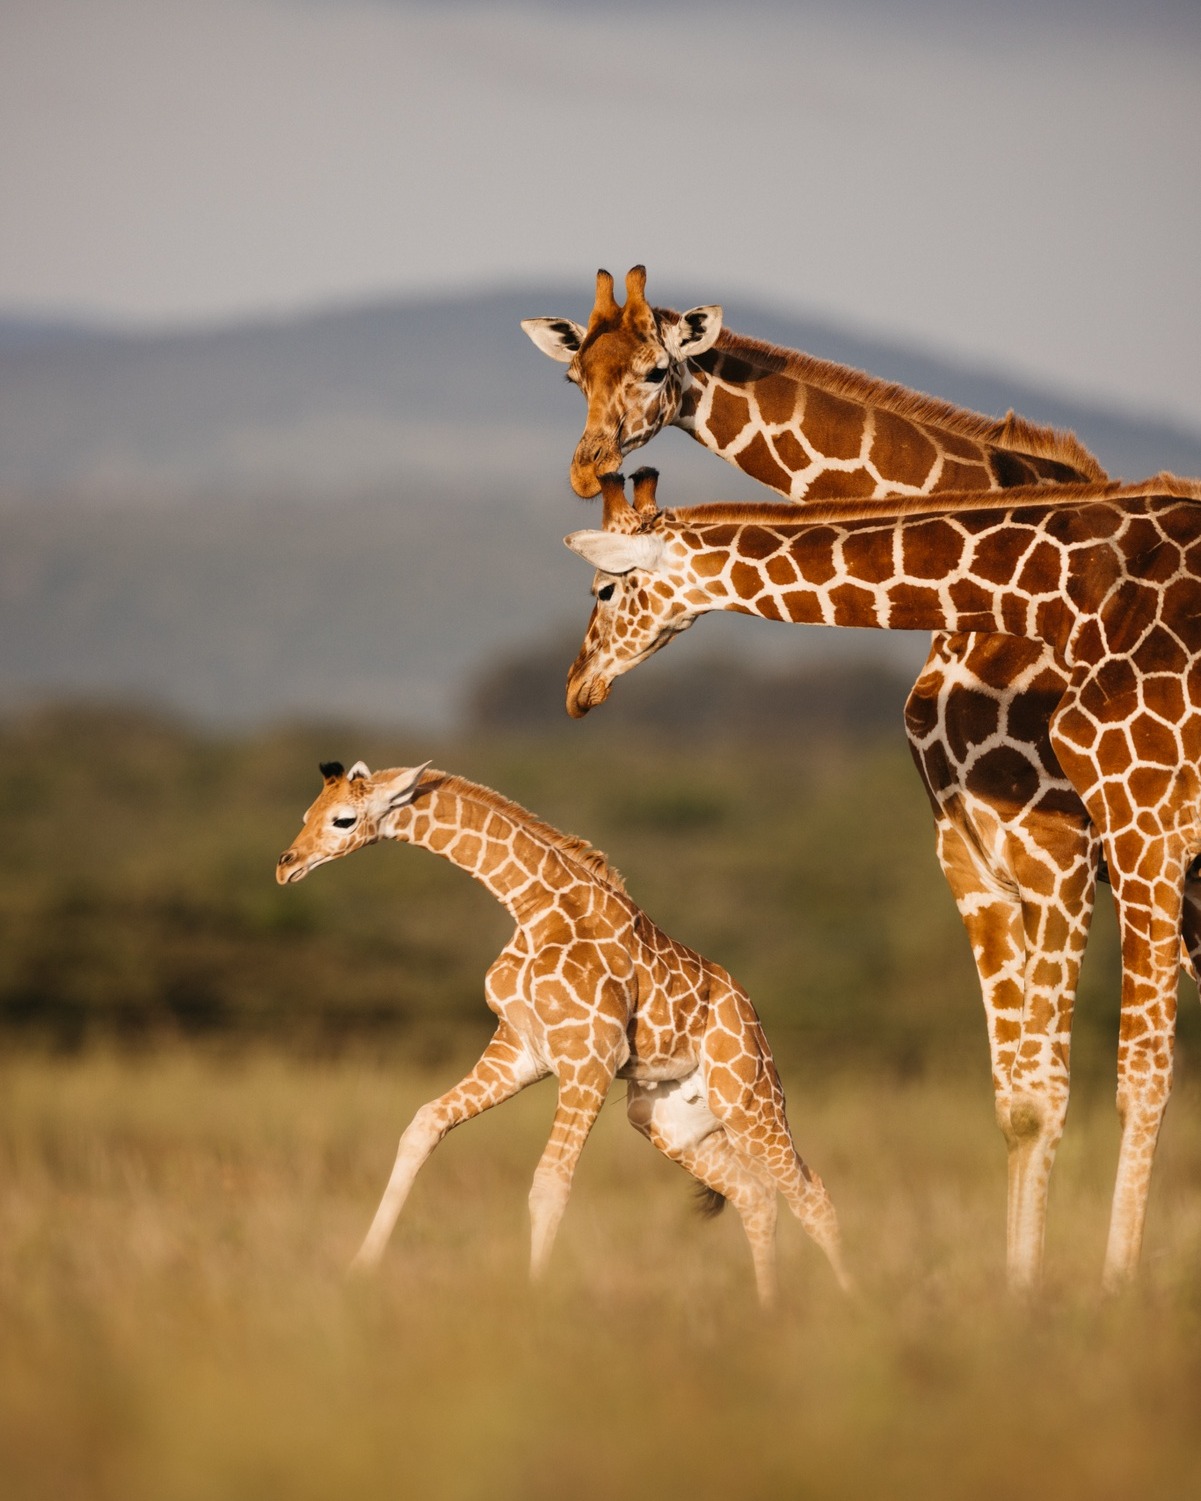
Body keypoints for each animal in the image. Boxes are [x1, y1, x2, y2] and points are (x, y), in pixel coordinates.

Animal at [276, 759, 852, 1305]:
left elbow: (549, 1184)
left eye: (343, 819)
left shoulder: (590, 1057)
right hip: (667, 1119)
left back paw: (855, 1306)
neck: (534, 906)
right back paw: (767, 1312)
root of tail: (751, 1015)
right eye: (306, 813)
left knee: (812, 1195)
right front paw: (360, 1269)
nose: (286, 865)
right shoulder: (521, 1049)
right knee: (757, 1196)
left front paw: (534, 1304)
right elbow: (422, 1126)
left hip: (749, 1098)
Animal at [524, 267, 1201, 1291]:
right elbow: (1021, 1098)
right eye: (575, 377)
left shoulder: (1080, 841)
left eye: (651, 369)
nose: (573, 690)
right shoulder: (975, 855)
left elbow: (1097, 1083)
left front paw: (1080, 1293)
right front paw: (1019, 1292)